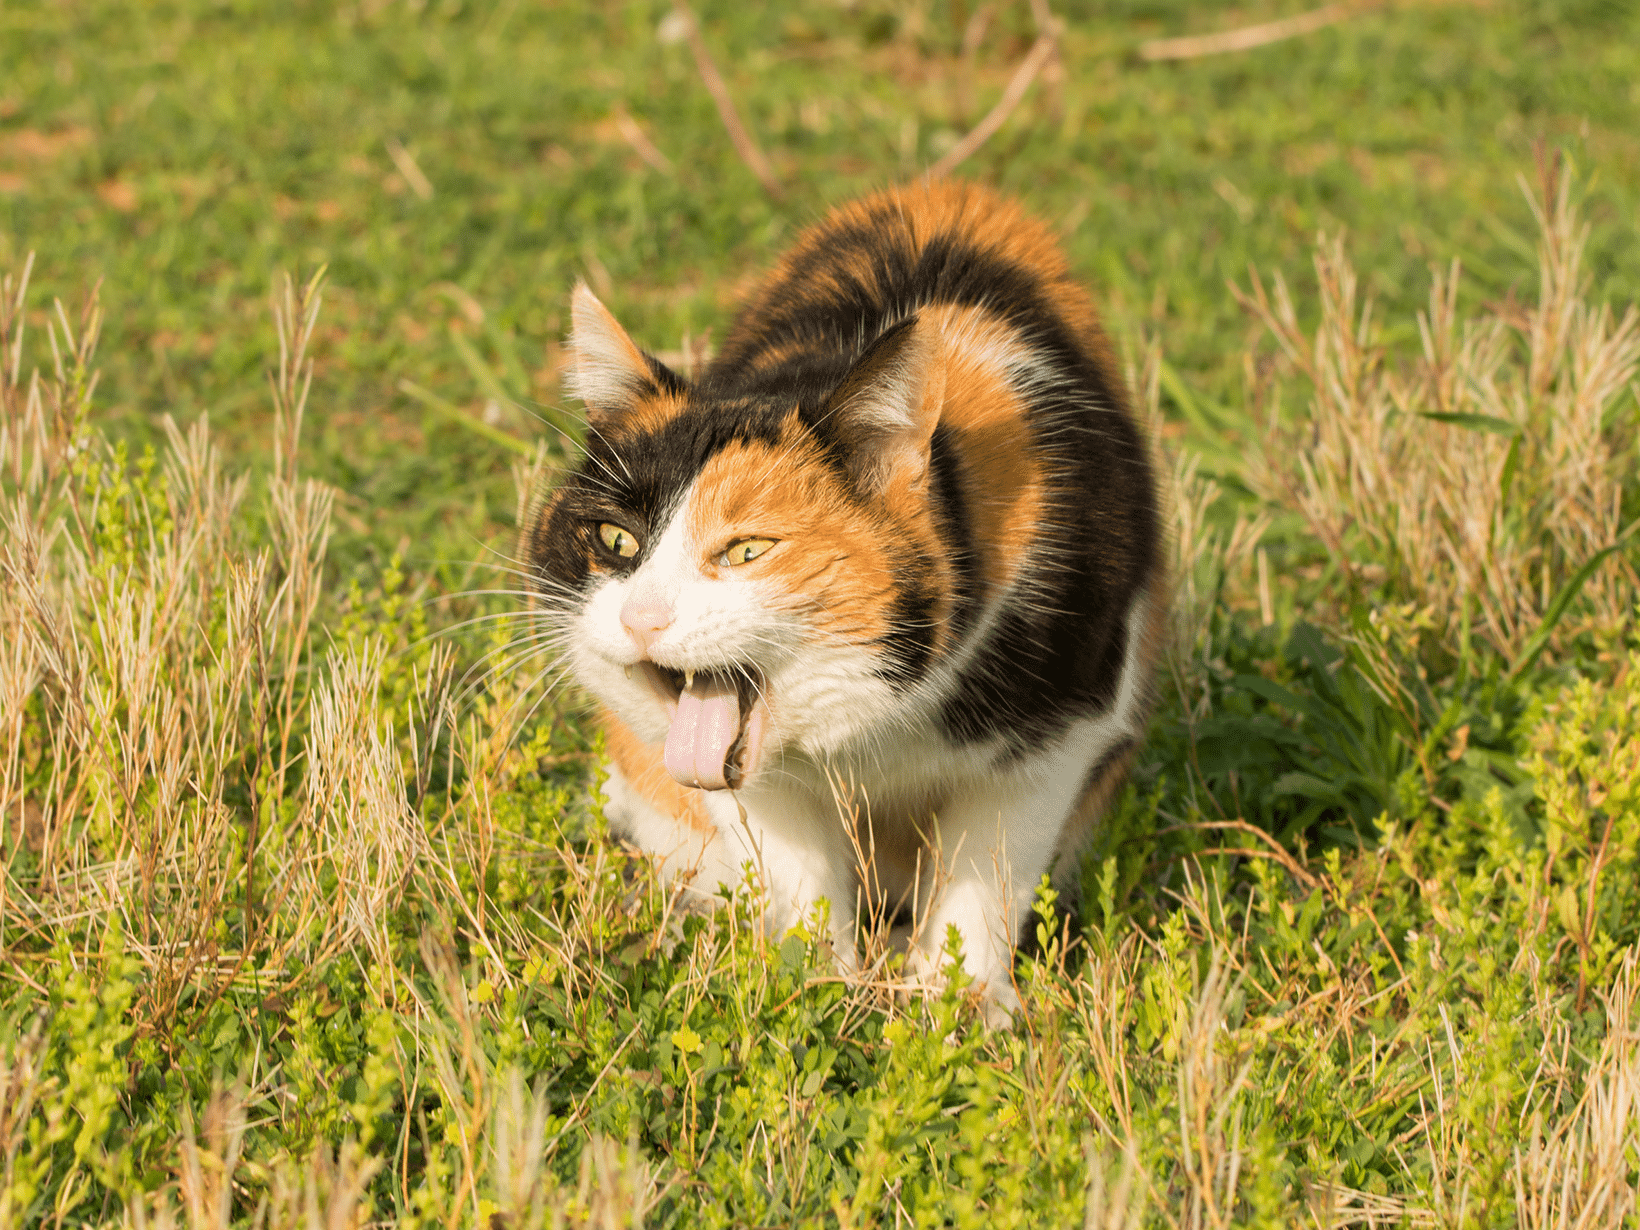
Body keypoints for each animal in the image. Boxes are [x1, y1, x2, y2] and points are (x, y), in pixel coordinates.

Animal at [524, 177, 1167, 1016]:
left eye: (748, 549)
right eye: (616, 541)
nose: (642, 616)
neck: (879, 723)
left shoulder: (1058, 734)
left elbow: (987, 873)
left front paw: (957, 1010)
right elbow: (798, 877)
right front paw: (812, 991)